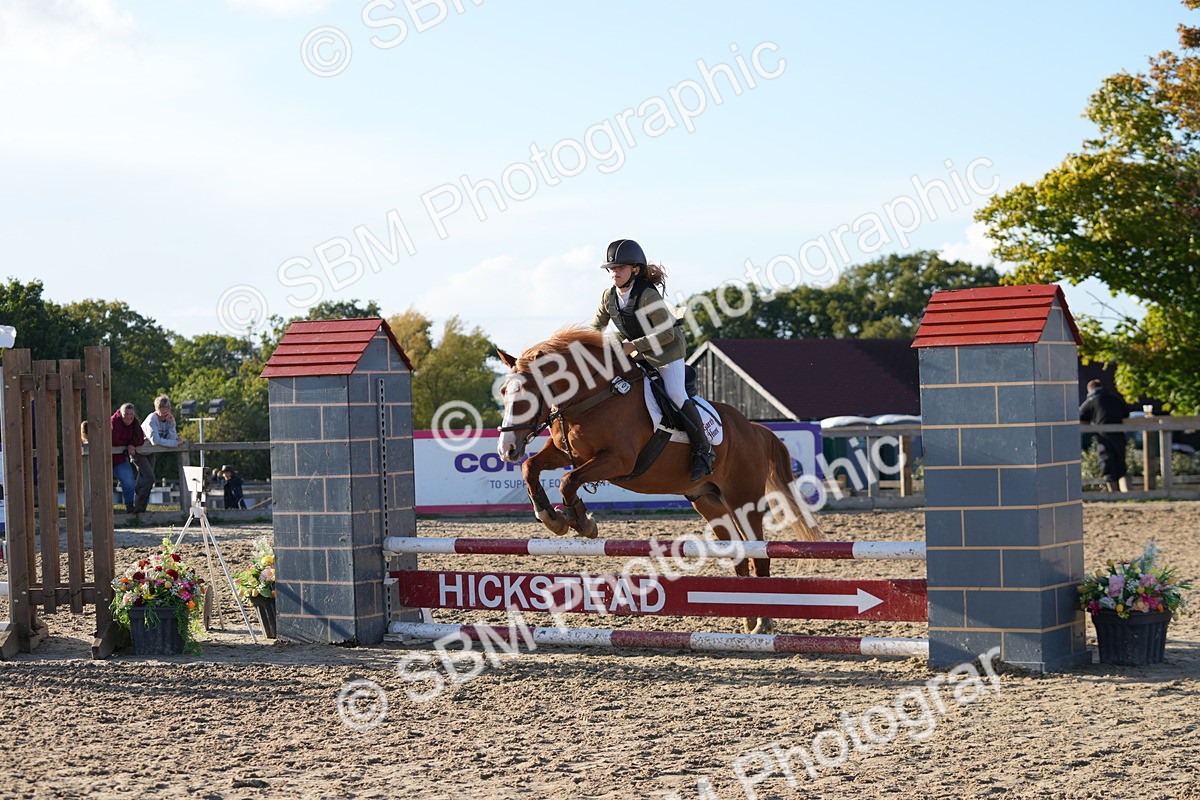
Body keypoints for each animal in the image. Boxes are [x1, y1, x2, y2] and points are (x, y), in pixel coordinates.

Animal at [496, 327, 822, 635]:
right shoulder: (566, 452)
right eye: (502, 392)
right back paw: (748, 618)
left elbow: (568, 480)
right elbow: (531, 468)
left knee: (759, 555)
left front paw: (581, 522)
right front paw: (551, 516)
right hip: (709, 501)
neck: (591, 397)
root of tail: (754, 428)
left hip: (744, 498)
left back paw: (764, 623)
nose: (506, 449)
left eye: (526, 397)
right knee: (739, 554)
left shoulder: (617, 460)